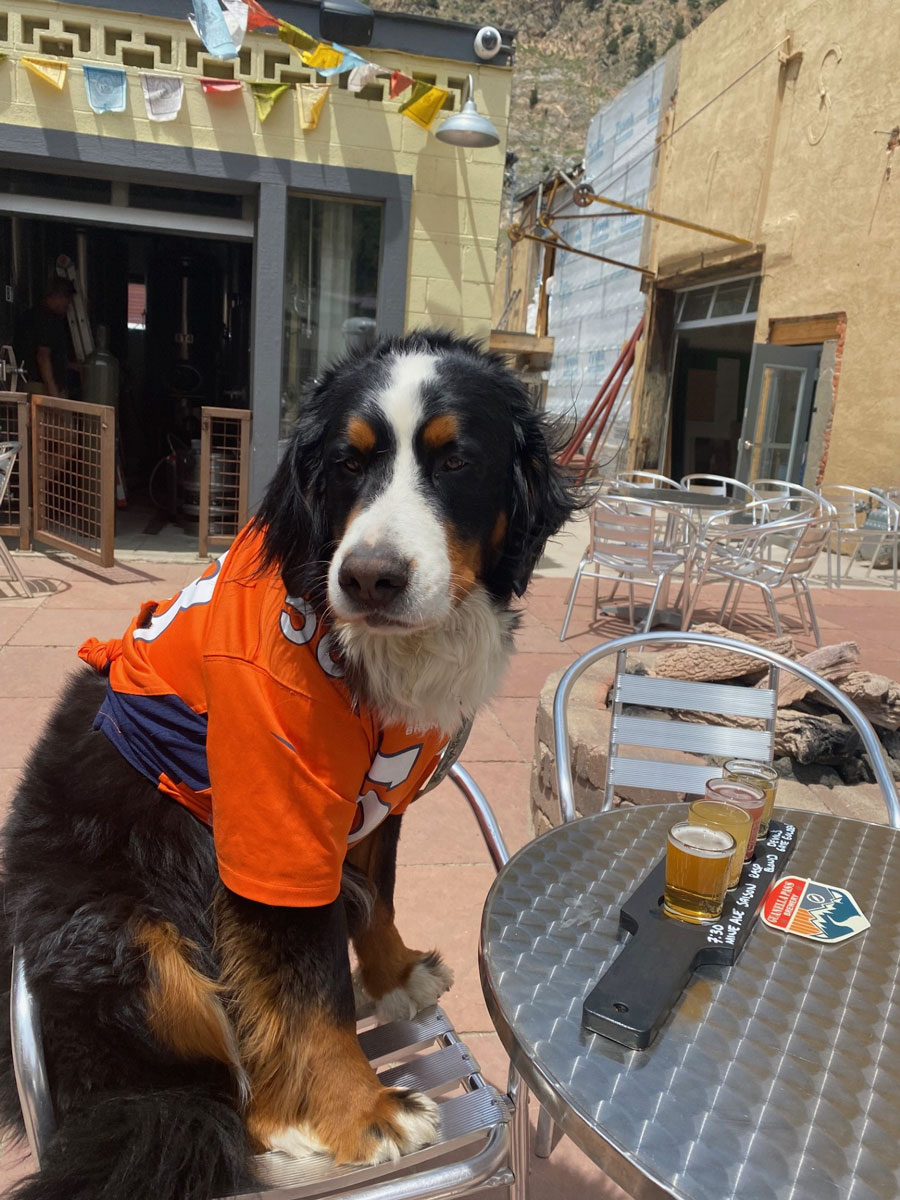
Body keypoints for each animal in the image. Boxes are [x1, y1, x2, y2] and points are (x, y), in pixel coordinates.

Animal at [0, 328, 578, 1200]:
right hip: (131, 936)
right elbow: (311, 991)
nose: (370, 577)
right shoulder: (274, 830)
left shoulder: (369, 807)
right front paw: (363, 1113)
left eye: (454, 461)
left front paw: (394, 976)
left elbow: (373, 902)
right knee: (196, 1097)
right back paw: (284, 1141)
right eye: (347, 463)